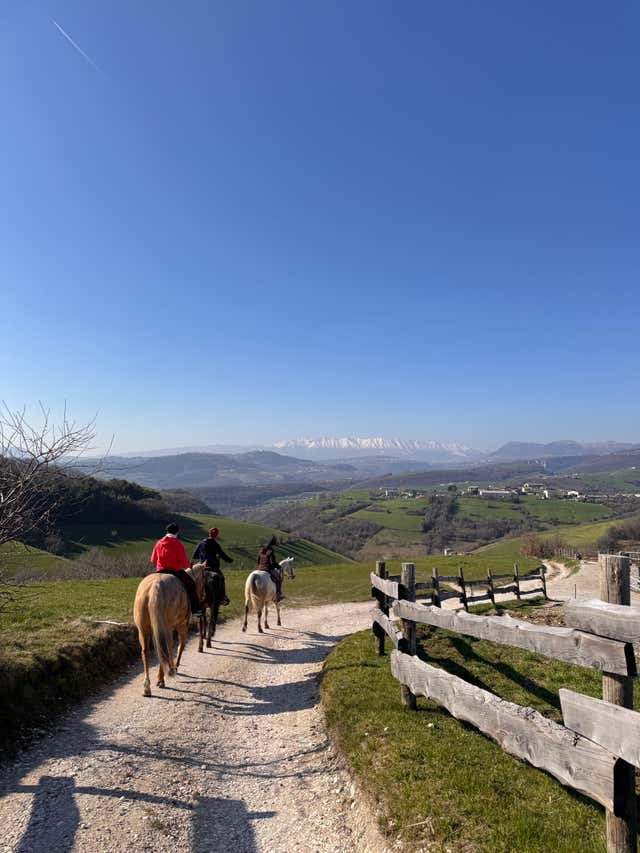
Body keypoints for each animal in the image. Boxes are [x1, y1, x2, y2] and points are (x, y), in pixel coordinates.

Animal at [133, 563, 206, 697]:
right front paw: (175, 666)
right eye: (204, 578)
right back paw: (162, 679)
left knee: (147, 652)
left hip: (143, 629)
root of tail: (154, 587)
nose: (203, 596)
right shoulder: (181, 625)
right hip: (167, 627)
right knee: (164, 649)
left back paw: (147, 687)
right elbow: (180, 646)